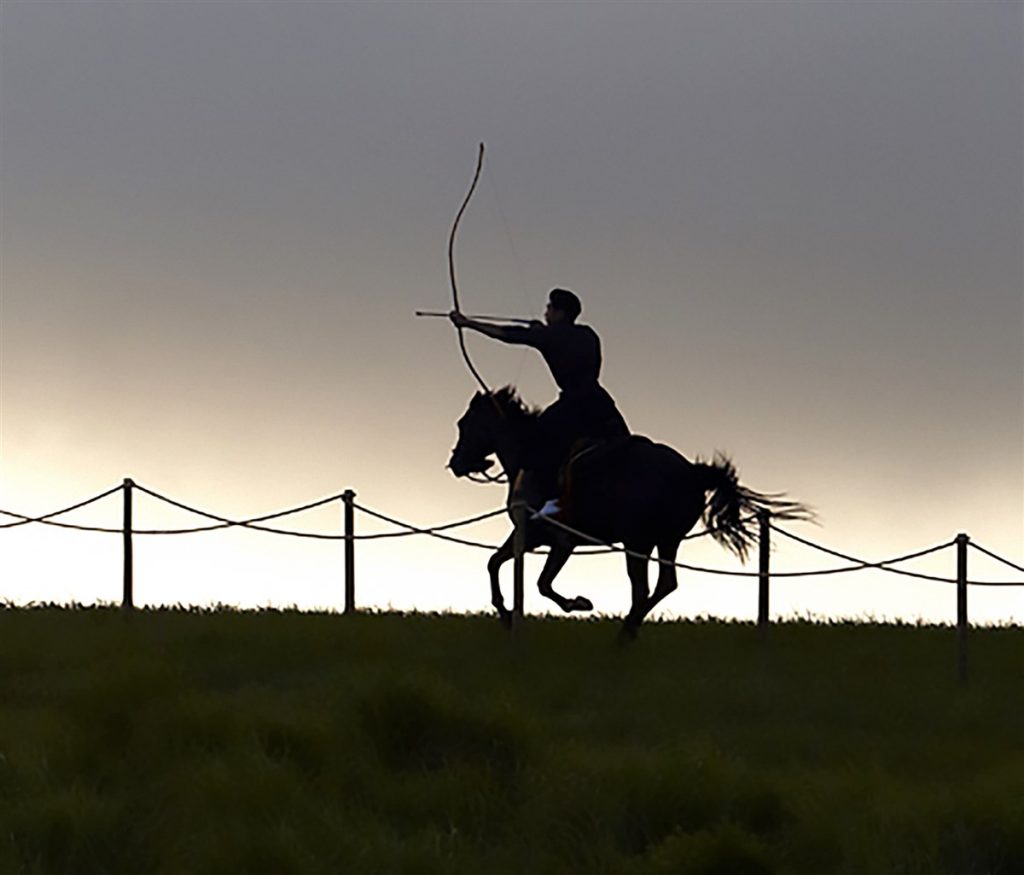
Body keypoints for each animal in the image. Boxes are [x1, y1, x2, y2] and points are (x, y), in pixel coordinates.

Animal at [446, 387, 806, 639]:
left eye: (464, 423)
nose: (456, 464)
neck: (531, 460)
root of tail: (691, 472)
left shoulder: (561, 541)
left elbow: (542, 583)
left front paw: (577, 604)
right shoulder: (532, 537)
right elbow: (494, 563)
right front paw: (506, 615)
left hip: (638, 542)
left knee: (643, 588)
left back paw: (623, 634)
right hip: (666, 540)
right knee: (665, 584)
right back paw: (629, 631)